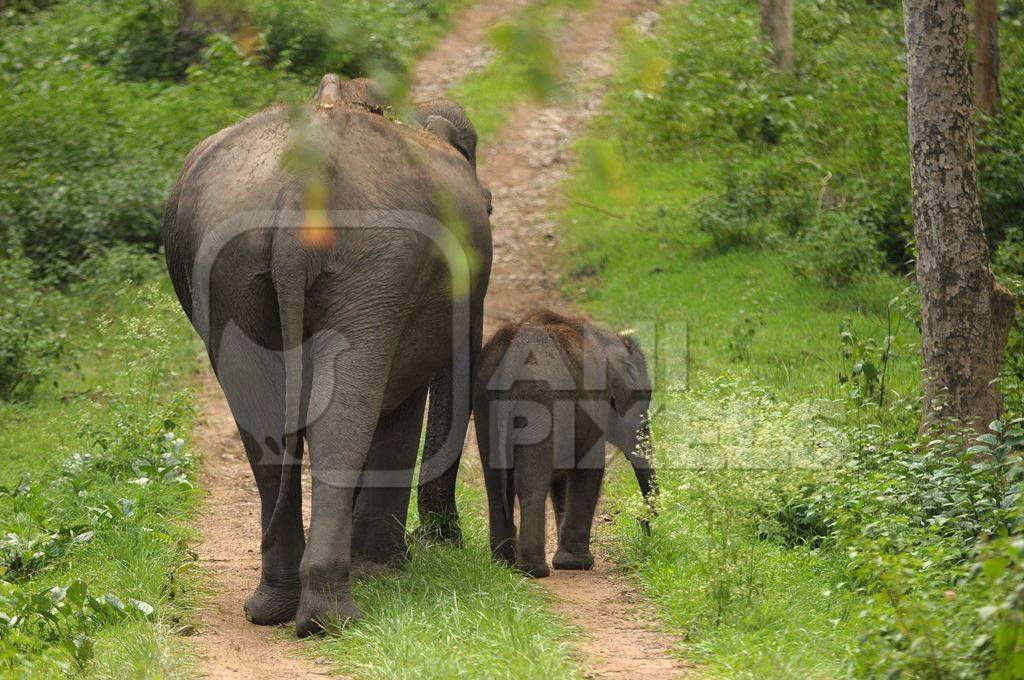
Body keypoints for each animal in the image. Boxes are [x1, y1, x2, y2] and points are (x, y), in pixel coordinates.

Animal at [163, 75, 491, 639]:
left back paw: (276, 607)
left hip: (233, 268)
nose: (443, 537)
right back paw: (331, 615)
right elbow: (397, 406)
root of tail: (302, 184)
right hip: (373, 265)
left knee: (266, 422)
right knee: (344, 417)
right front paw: (385, 570)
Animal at [471, 311, 655, 577]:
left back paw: (503, 564)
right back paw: (534, 570)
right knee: (530, 485)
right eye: (645, 399)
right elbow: (589, 469)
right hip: (540, 401)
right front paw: (577, 564)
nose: (643, 524)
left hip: (483, 402)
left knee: (495, 485)